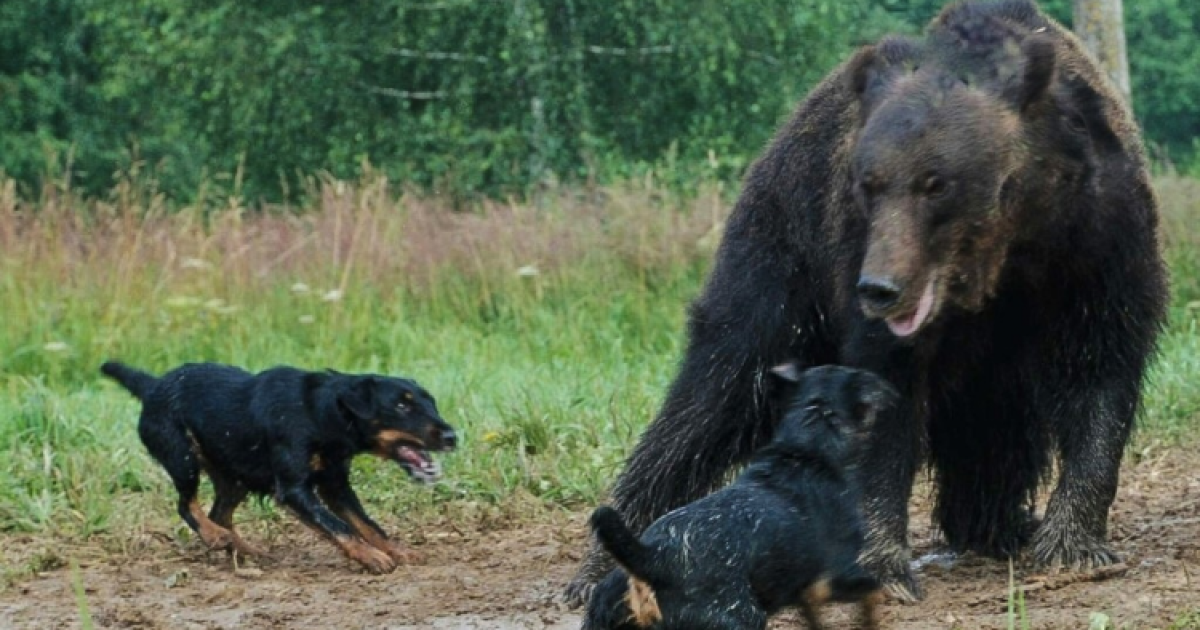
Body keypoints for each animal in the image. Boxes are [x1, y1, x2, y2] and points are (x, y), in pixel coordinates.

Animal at [97, 357, 453, 568]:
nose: (452, 436)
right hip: (181, 457)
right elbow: (338, 525)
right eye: (402, 406)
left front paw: (395, 550)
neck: (319, 412)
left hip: (234, 476)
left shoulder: (336, 485)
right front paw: (371, 557)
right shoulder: (295, 489)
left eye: (431, 403)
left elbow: (366, 523)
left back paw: (243, 549)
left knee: (218, 513)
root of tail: (152, 386)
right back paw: (215, 537)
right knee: (187, 505)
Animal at [580, 362, 902, 628]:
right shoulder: (837, 574)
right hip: (742, 618)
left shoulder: (806, 590)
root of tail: (653, 557)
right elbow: (872, 589)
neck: (807, 444)